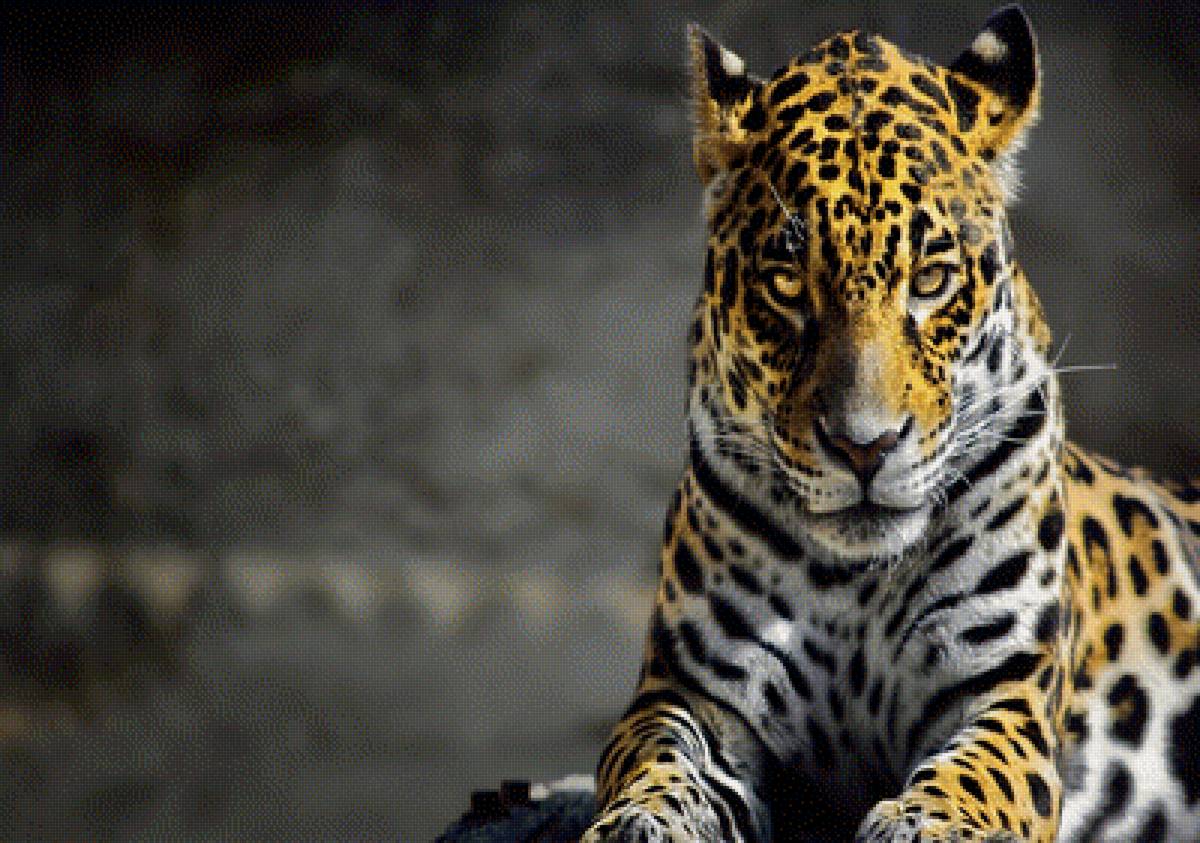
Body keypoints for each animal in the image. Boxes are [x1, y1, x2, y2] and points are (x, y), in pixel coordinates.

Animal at [582, 6, 1200, 842]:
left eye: (931, 280)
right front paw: (638, 821)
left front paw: (923, 822)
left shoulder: (1004, 692)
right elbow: (655, 760)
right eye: (787, 285)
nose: (863, 446)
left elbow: (974, 773)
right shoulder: (691, 691)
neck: (854, 582)